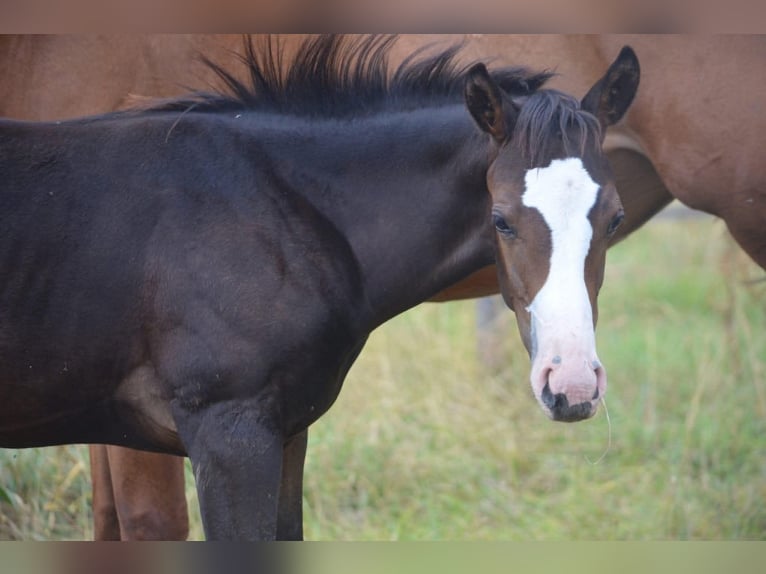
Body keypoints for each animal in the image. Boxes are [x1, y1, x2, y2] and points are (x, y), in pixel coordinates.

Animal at [0, 34, 639, 540]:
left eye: (614, 218)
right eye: (501, 219)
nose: (573, 386)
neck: (275, 205)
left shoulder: (284, 434)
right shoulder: (228, 435)